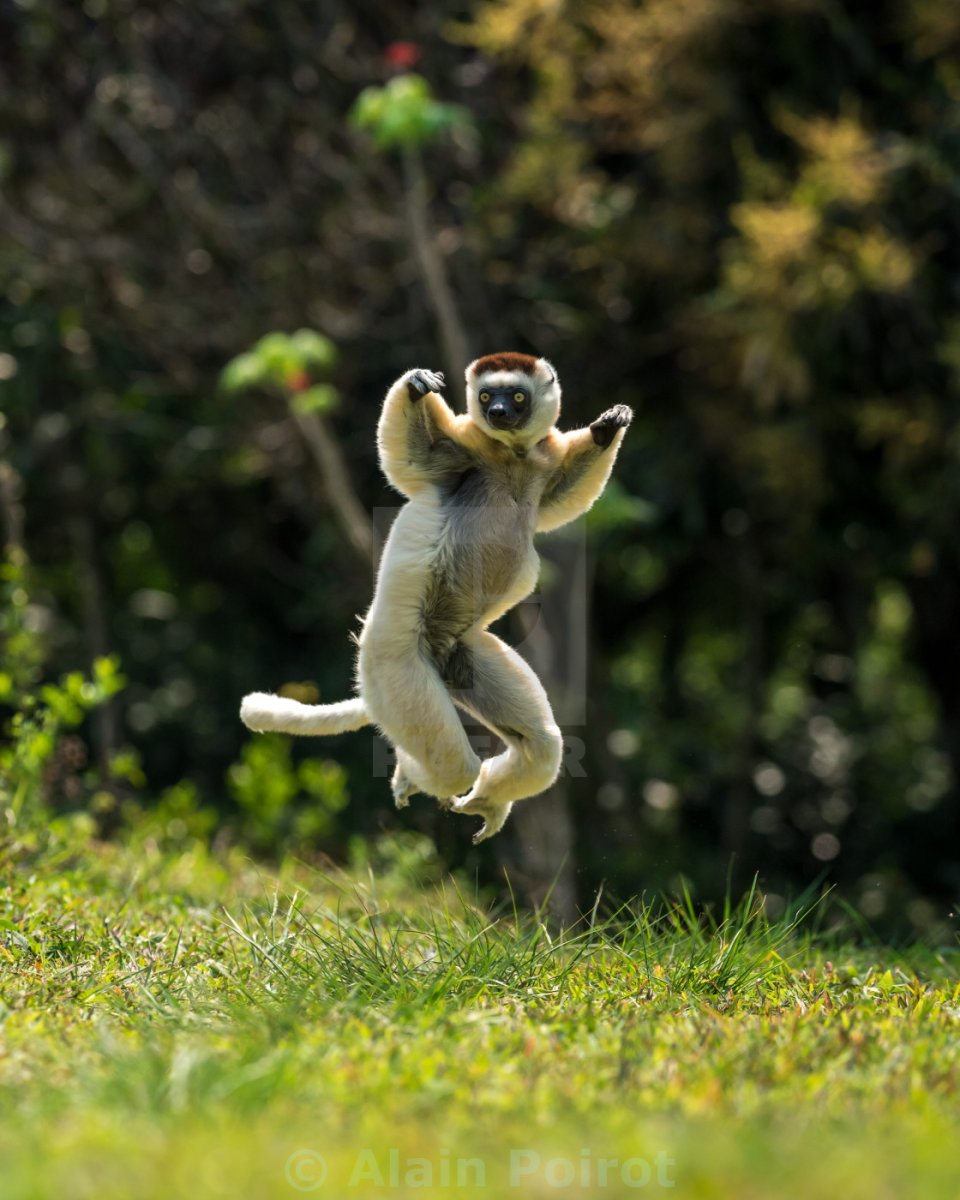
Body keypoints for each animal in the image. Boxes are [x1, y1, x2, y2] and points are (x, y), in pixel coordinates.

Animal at [240, 353, 632, 842]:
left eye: (516, 396)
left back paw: (486, 799)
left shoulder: (544, 461)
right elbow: (410, 459)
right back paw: (412, 774)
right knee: (454, 765)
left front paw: (606, 430)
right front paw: (415, 387)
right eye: (486, 396)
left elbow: (563, 497)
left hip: (463, 654)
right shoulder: (463, 449)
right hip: (393, 670)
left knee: (541, 744)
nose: (497, 413)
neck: (511, 454)